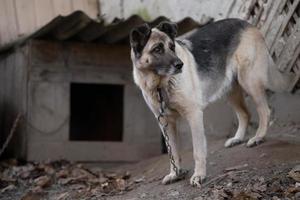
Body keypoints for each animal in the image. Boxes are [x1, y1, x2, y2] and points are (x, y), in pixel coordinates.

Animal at [129, 18, 300, 187]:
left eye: (172, 47)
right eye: (157, 49)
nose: (180, 65)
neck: (160, 85)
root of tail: (246, 23)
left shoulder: (194, 115)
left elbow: (198, 151)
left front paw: (199, 175)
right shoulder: (166, 122)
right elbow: (174, 153)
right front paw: (175, 174)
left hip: (249, 82)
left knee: (265, 111)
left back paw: (258, 137)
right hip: (230, 92)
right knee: (245, 114)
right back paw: (237, 138)